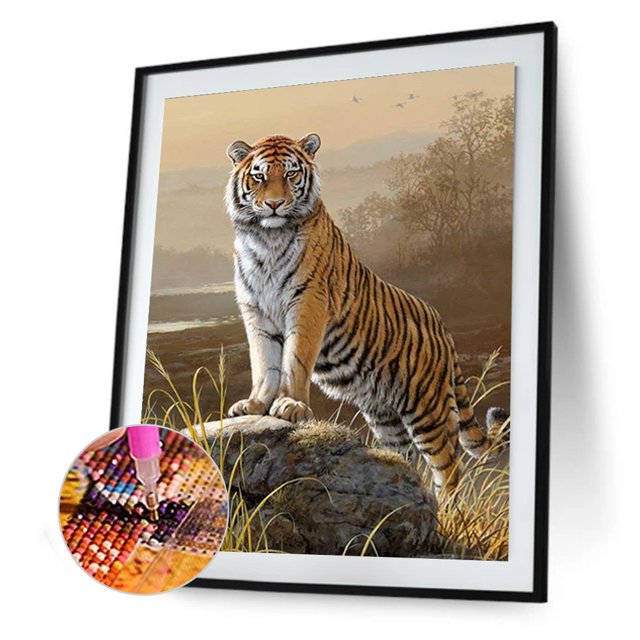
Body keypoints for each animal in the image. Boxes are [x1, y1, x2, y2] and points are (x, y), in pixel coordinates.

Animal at [224, 132, 507, 495]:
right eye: (258, 176)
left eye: (290, 174)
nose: (274, 204)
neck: (267, 238)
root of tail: (441, 323)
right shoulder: (255, 311)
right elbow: (263, 363)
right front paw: (255, 405)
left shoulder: (308, 303)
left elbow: (294, 360)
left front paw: (290, 405)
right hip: (385, 415)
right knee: (403, 456)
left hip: (427, 408)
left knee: (449, 467)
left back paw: (444, 506)